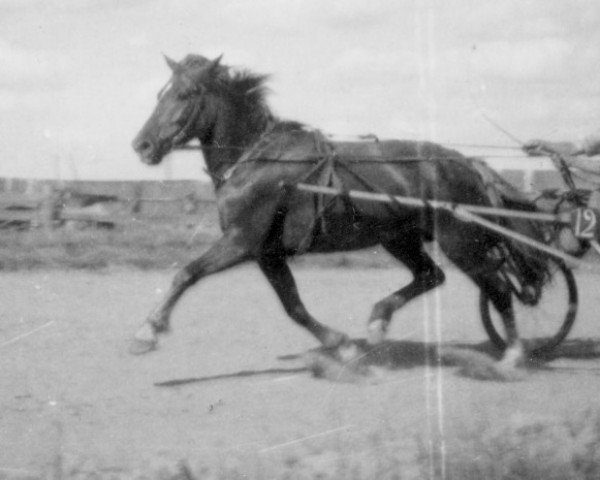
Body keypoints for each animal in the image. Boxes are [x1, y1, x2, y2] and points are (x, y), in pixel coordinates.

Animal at [130, 53, 548, 368]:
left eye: (186, 93)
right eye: (160, 93)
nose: (142, 145)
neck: (258, 159)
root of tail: (465, 162)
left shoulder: (241, 241)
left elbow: (186, 273)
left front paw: (147, 330)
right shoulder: (267, 253)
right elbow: (294, 306)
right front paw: (341, 345)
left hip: (461, 240)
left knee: (496, 287)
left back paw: (513, 353)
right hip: (400, 238)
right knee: (431, 275)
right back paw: (378, 320)